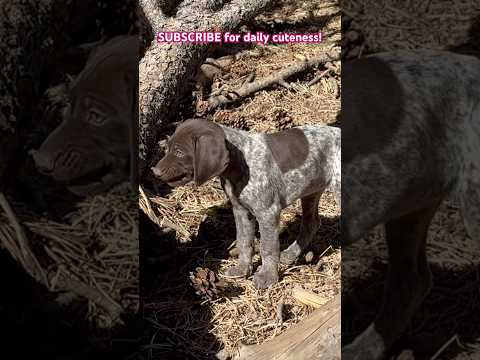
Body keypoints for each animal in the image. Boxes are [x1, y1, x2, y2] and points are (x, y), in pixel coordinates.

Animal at [152, 119, 340, 288]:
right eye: (168, 148)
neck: (240, 163)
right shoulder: (241, 210)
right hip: (311, 190)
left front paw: (267, 276)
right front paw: (243, 269)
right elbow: (243, 241)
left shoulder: (267, 213)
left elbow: (267, 247)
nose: (155, 172)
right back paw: (291, 254)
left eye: (179, 152)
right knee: (311, 223)